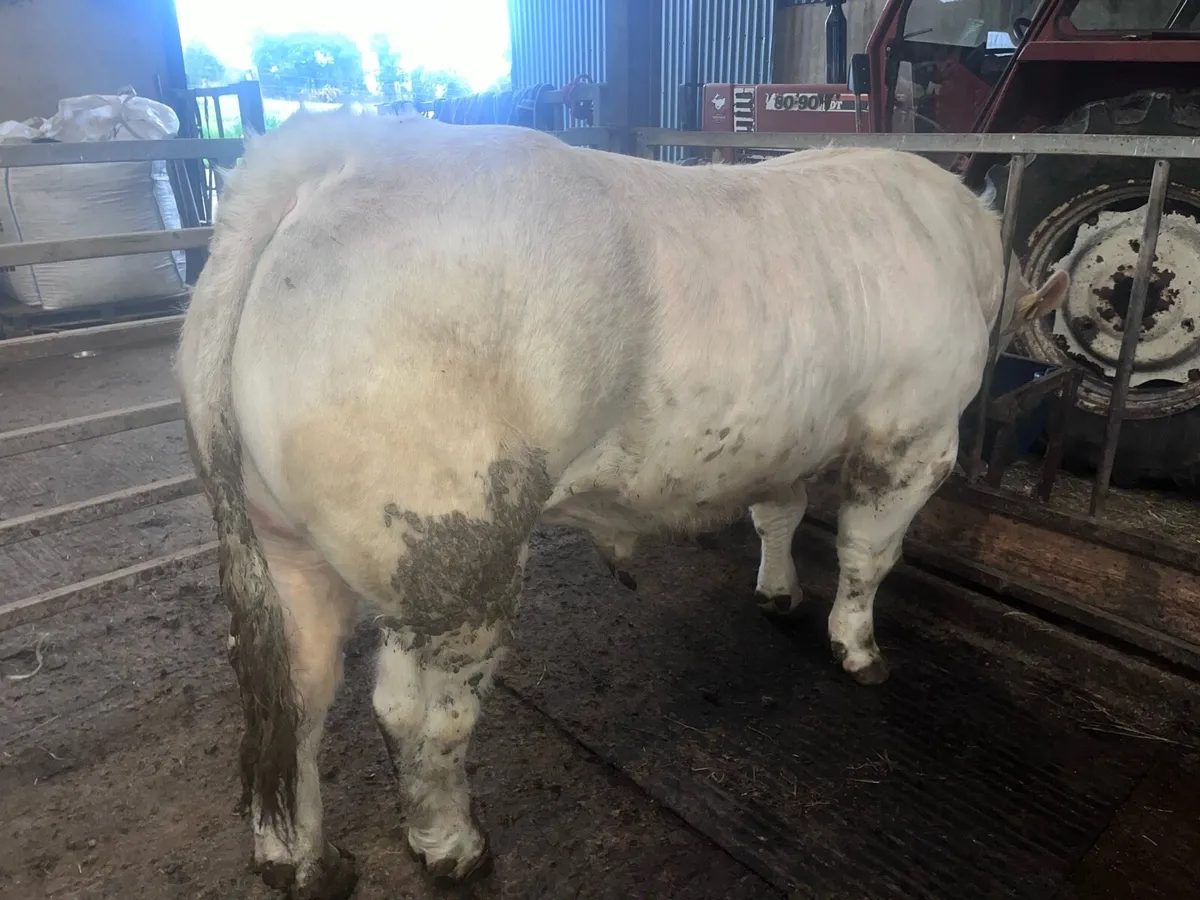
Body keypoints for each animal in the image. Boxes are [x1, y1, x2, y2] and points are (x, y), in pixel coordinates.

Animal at [174, 109, 1069, 899]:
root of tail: (325, 161)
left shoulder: (784, 437)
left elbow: (778, 512)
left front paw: (779, 592)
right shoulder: (914, 439)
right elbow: (868, 555)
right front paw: (858, 648)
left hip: (292, 547)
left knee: (294, 693)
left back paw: (299, 859)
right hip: (460, 556)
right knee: (421, 716)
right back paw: (451, 846)